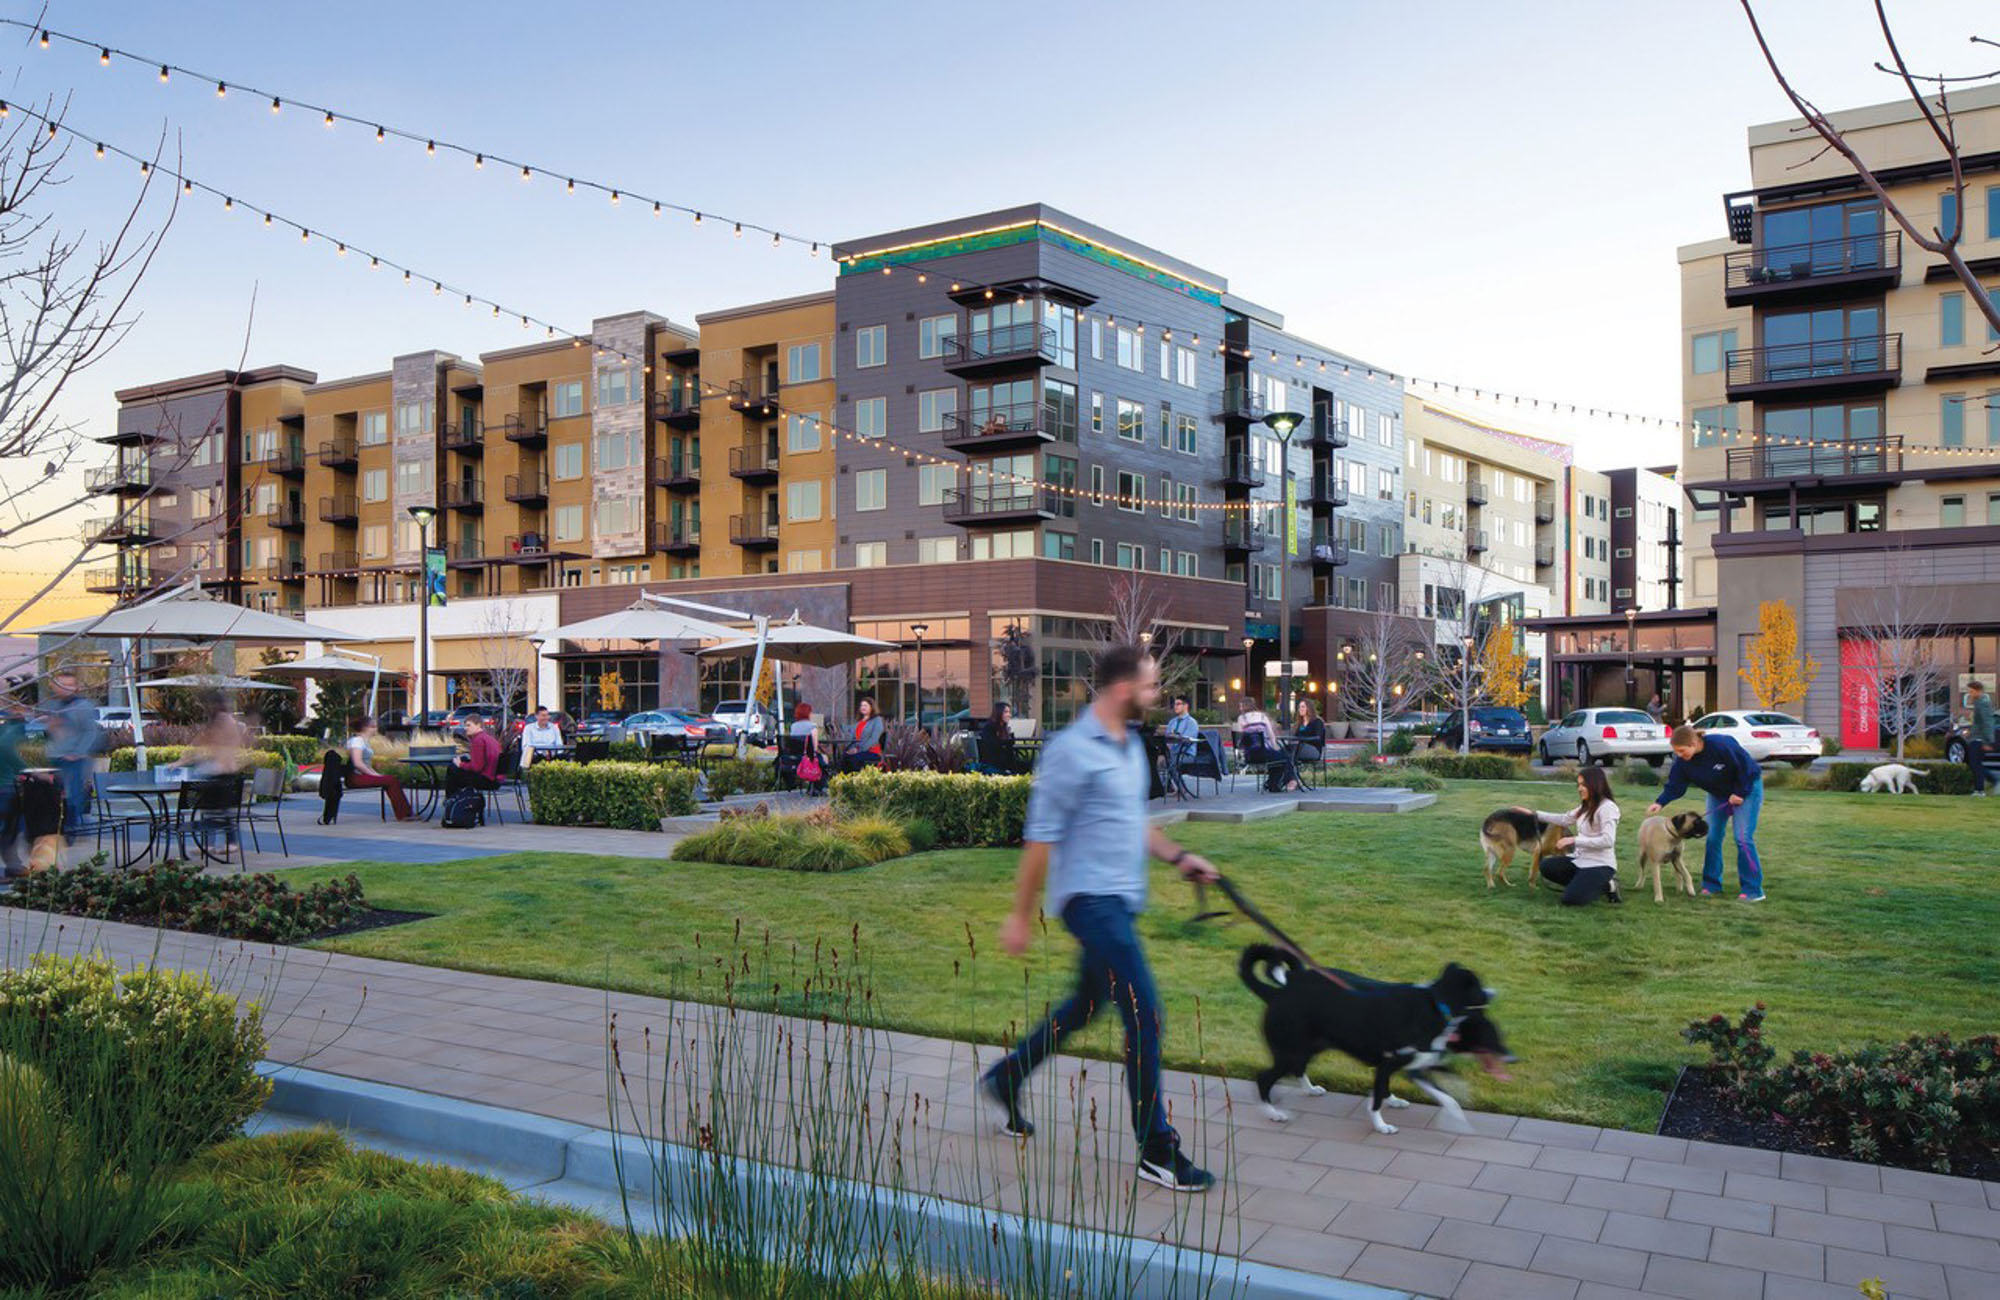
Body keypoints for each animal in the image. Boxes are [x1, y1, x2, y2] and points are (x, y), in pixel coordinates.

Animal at [1240, 940, 1504, 1136]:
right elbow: (1377, 1098)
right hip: (1290, 1051)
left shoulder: (1404, 1065)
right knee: (1264, 1078)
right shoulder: (1388, 1063)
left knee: (1298, 1069)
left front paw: (1395, 1102)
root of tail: (1277, 993)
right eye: (1478, 988)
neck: (1435, 1005)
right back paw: (1273, 1113)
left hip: (1308, 1047)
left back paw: (1310, 1089)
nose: (1494, 992)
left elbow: (1394, 1090)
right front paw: (1381, 1126)